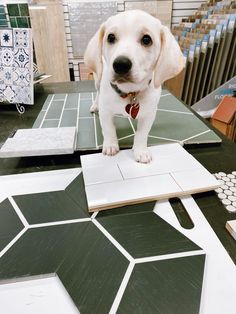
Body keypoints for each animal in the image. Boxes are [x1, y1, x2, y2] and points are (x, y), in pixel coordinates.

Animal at [84, 9, 184, 163]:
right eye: (110, 37)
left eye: (146, 40)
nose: (120, 64)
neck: (129, 92)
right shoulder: (106, 111)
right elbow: (108, 129)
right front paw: (111, 145)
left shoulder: (149, 114)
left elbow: (142, 133)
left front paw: (140, 151)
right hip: (97, 79)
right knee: (98, 93)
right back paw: (95, 105)